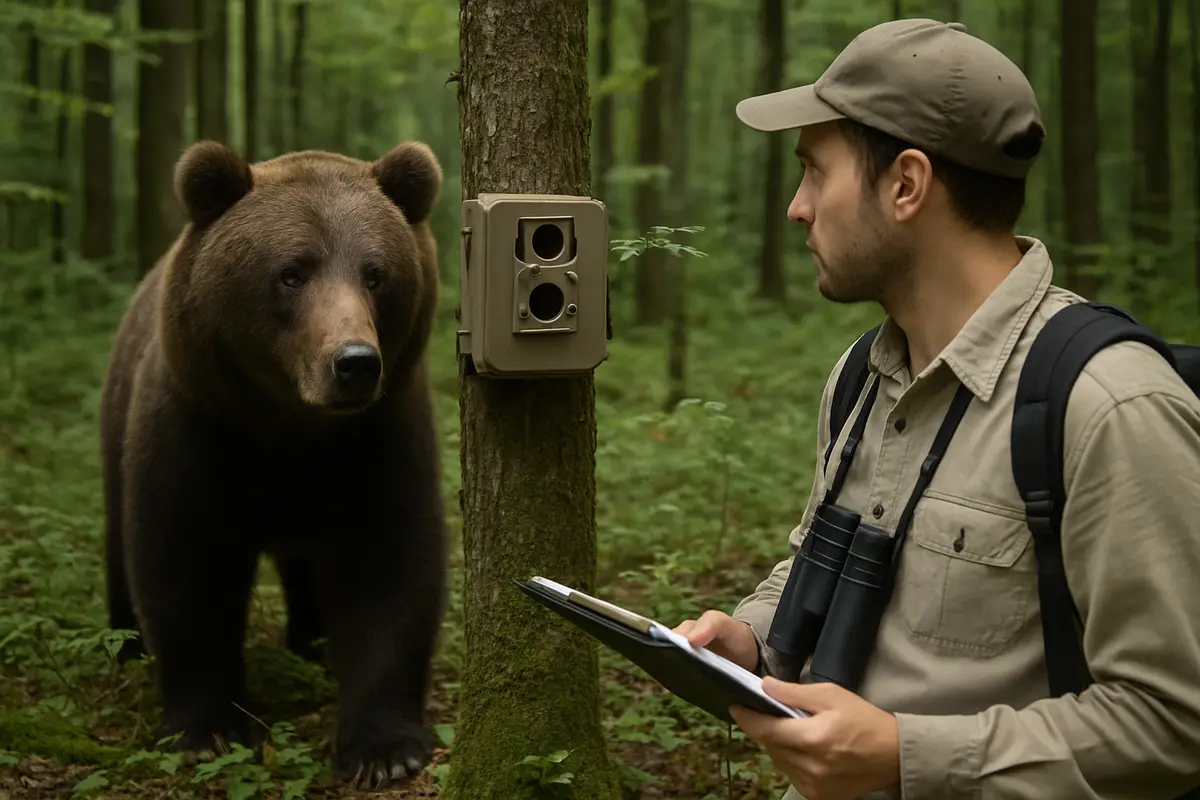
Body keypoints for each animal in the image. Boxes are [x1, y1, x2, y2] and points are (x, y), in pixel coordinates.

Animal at [97, 138, 448, 789]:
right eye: (291, 273)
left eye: (375, 273)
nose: (354, 362)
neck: (289, 427)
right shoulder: (199, 428)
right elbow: (184, 568)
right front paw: (208, 730)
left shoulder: (376, 439)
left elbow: (389, 567)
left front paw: (385, 750)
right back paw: (126, 643)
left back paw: (314, 643)